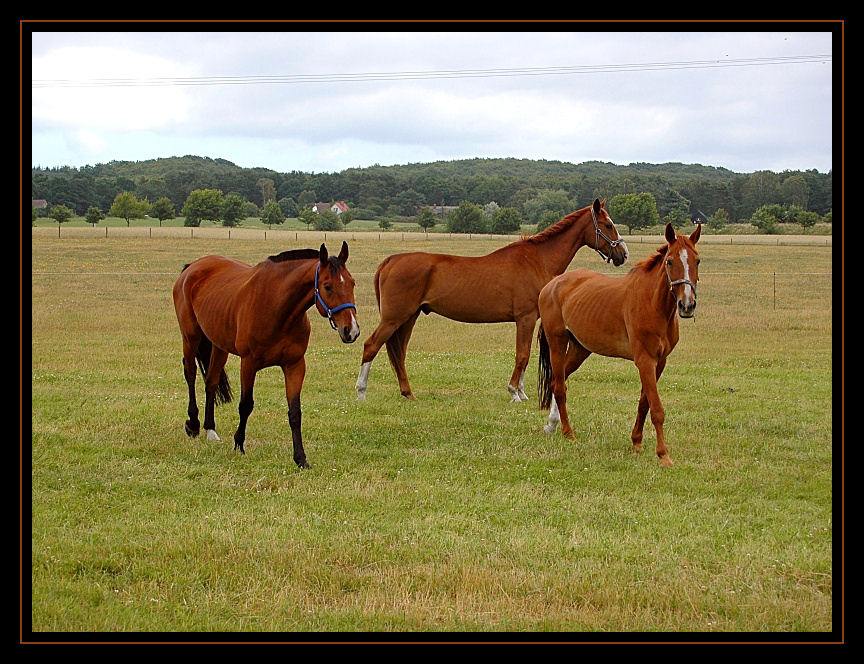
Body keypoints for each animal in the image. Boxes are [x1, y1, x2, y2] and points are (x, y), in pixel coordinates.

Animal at [170, 243, 360, 466]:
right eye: (327, 286)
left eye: (352, 283)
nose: (351, 330)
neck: (277, 308)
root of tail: (192, 267)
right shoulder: (248, 364)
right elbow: (246, 405)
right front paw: (239, 444)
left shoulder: (295, 365)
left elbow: (295, 413)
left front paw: (300, 458)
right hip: (190, 337)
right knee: (190, 374)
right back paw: (193, 424)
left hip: (219, 345)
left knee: (211, 381)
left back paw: (210, 429)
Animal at [352, 197, 628, 402]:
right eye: (608, 225)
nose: (623, 254)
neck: (537, 259)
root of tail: (390, 261)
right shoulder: (525, 318)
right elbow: (522, 355)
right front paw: (514, 392)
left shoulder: (528, 320)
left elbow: (524, 355)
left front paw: (521, 392)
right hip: (394, 317)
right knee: (371, 345)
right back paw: (361, 392)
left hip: (409, 317)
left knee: (398, 353)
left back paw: (408, 393)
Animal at [536, 223, 700, 466]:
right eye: (670, 261)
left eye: (697, 260)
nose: (687, 304)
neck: (653, 304)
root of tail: (551, 285)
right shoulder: (644, 361)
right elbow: (656, 409)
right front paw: (663, 455)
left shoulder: (659, 362)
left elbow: (644, 403)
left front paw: (637, 442)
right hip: (557, 342)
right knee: (558, 386)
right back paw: (568, 433)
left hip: (580, 349)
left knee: (560, 381)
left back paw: (552, 426)